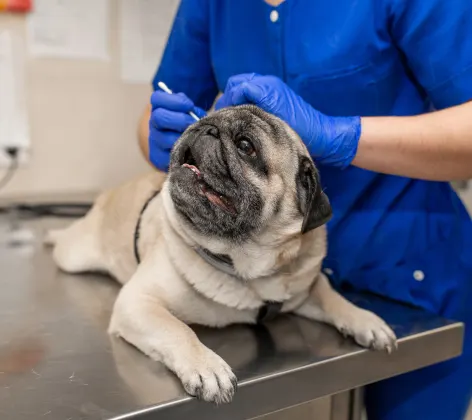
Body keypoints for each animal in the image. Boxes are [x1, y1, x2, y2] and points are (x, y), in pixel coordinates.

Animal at [47, 104, 394, 404]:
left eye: (245, 146)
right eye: (200, 118)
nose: (205, 128)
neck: (246, 266)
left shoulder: (305, 287)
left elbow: (332, 297)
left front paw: (365, 320)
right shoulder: (138, 302)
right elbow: (178, 329)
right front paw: (206, 365)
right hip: (74, 255)